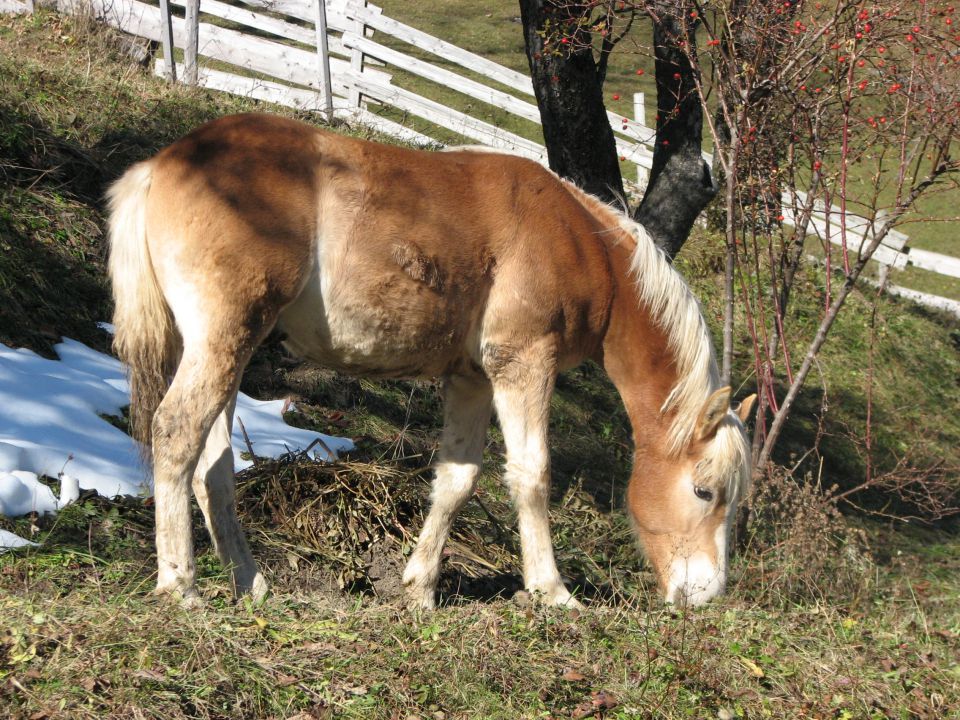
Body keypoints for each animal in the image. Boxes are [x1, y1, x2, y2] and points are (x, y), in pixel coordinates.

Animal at [109, 111, 756, 608]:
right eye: (704, 492)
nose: (706, 595)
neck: (579, 241)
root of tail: (163, 164)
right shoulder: (523, 364)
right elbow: (532, 475)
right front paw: (552, 592)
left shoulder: (473, 381)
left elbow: (456, 481)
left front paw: (419, 589)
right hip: (222, 341)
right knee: (176, 433)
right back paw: (181, 585)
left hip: (226, 352)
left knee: (212, 464)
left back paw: (250, 583)